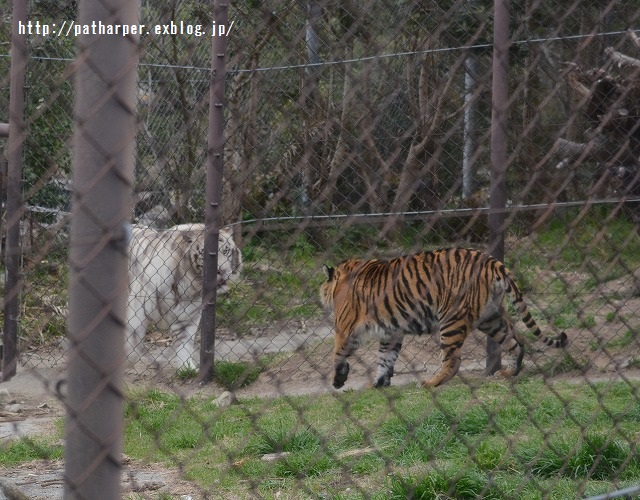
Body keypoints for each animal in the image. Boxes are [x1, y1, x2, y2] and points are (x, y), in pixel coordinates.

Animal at [127, 223, 242, 368]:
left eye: (226, 251)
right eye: (205, 254)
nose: (221, 271)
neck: (187, 286)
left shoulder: (188, 315)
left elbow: (184, 344)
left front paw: (187, 368)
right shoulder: (137, 309)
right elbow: (131, 348)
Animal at [320, 248, 568, 388]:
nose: (320, 296)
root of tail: (491, 261)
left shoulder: (345, 327)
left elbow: (337, 354)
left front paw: (338, 380)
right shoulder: (392, 333)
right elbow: (385, 358)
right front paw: (379, 384)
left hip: (451, 319)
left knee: (453, 359)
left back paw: (431, 383)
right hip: (491, 318)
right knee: (516, 343)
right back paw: (508, 373)